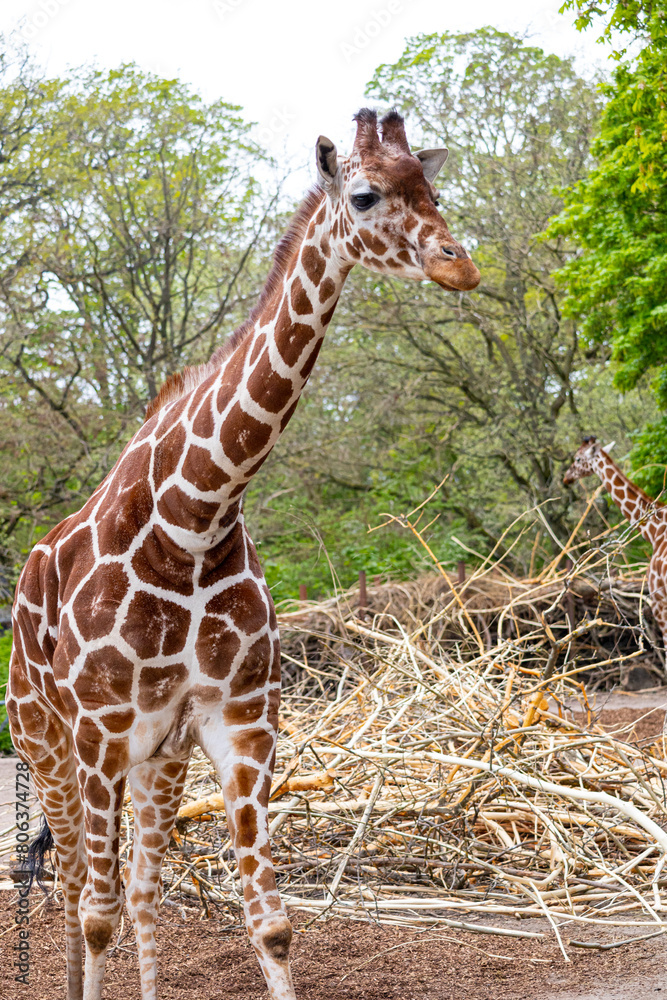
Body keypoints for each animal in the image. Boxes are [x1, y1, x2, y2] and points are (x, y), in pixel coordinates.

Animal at [7, 108, 480, 1000]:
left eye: (433, 190)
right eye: (364, 196)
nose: (457, 263)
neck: (191, 520)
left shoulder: (239, 721)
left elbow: (269, 922)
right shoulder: (100, 730)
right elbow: (94, 914)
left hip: (155, 761)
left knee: (140, 885)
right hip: (45, 742)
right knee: (74, 888)